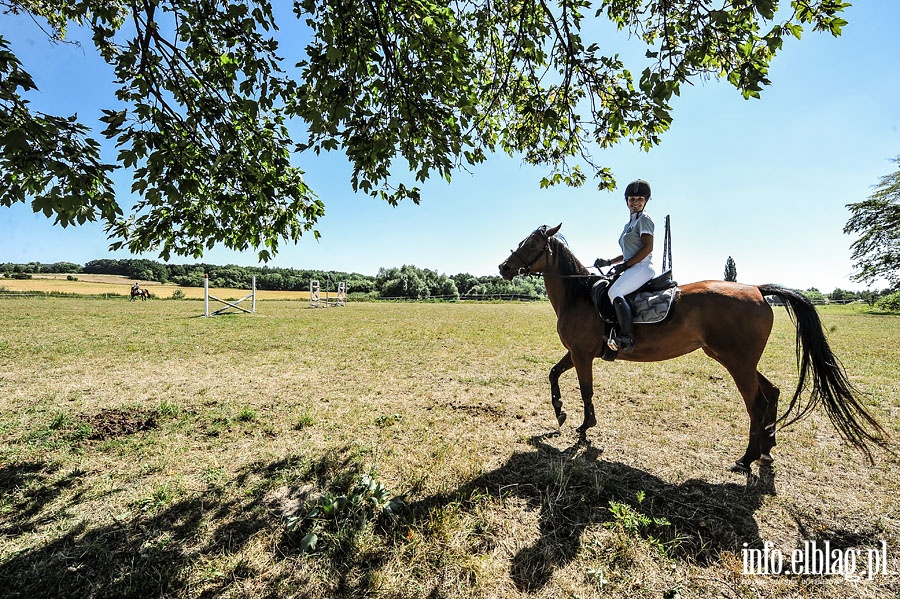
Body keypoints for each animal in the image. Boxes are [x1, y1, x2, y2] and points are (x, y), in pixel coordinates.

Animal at [500, 225, 884, 474]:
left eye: (532, 243)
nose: (503, 267)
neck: (579, 297)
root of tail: (758, 289)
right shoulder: (576, 352)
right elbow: (553, 374)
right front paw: (560, 413)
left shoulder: (582, 355)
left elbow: (585, 390)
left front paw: (583, 426)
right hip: (737, 360)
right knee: (772, 392)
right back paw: (767, 451)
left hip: (736, 363)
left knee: (757, 404)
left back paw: (746, 459)